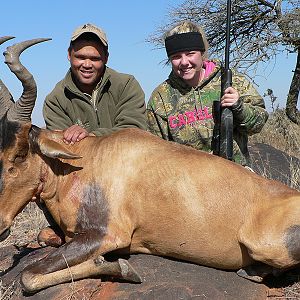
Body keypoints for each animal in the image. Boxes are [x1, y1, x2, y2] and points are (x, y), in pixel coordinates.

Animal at [0, 35, 300, 292]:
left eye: (20, 153)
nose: (2, 227)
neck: (88, 160)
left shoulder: (108, 235)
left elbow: (28, 276)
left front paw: (121, 268)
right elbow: (43, 238)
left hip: (265, 244)